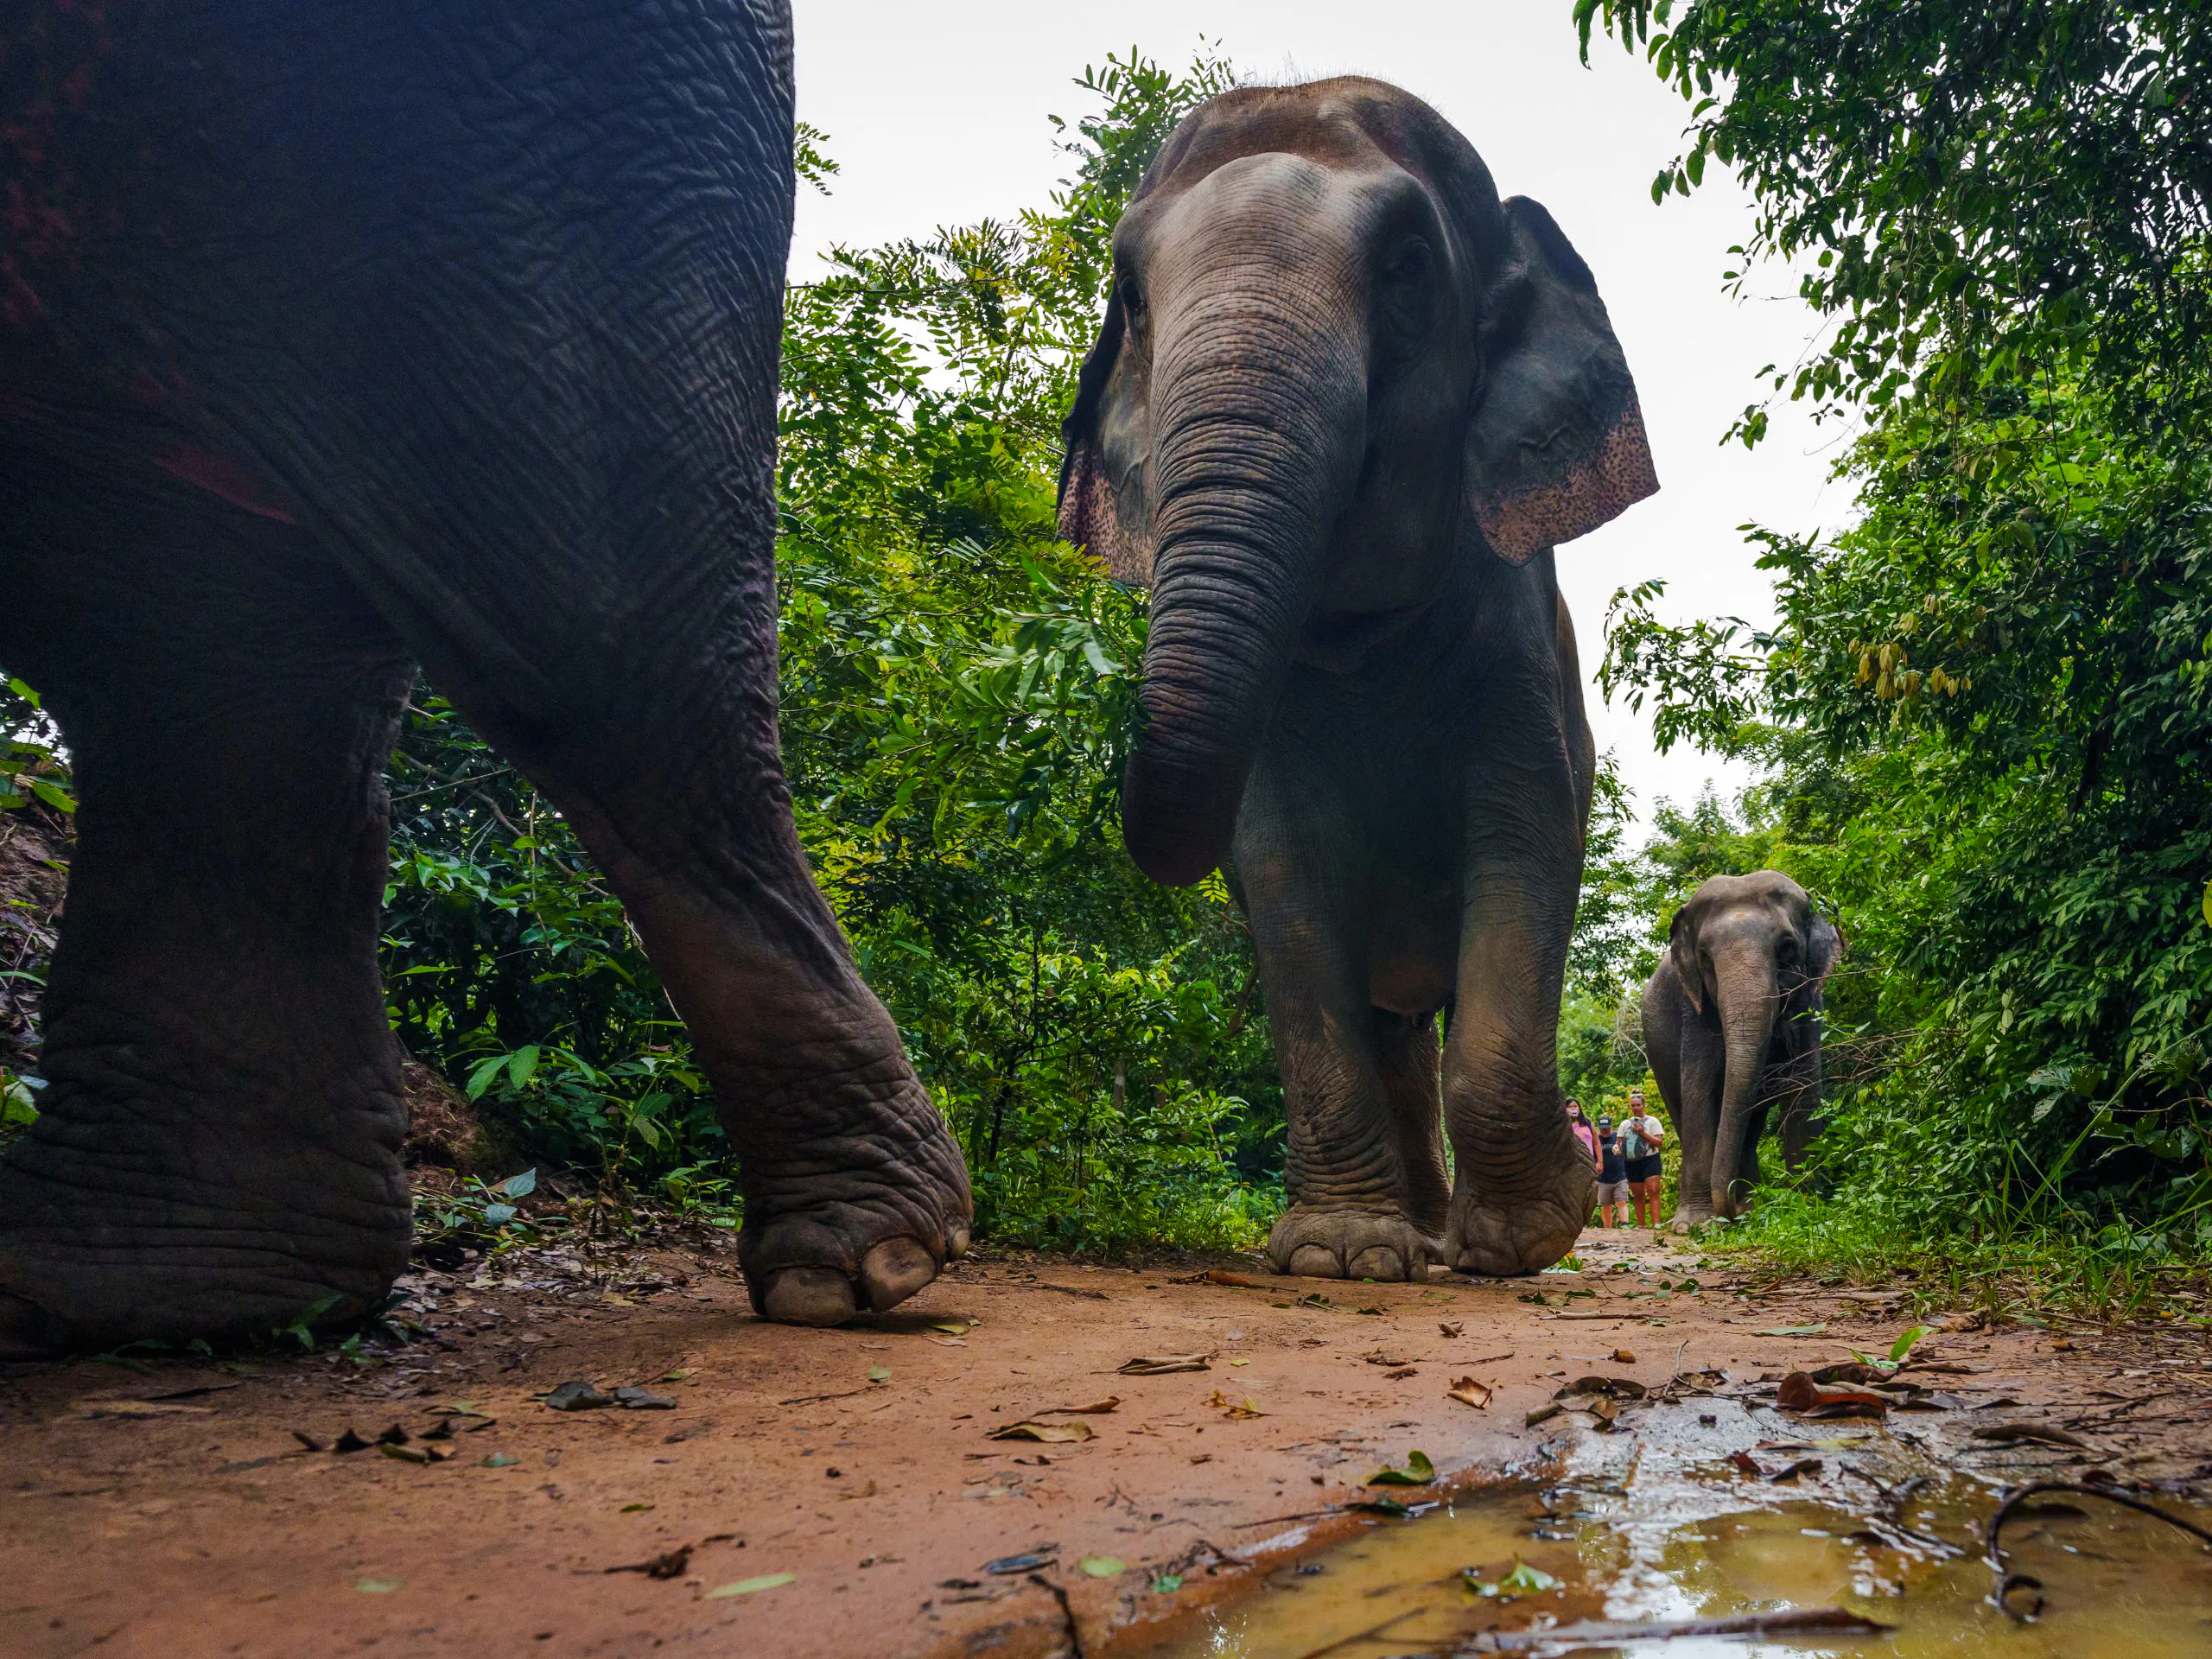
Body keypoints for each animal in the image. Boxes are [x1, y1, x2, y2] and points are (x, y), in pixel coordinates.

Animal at [1056, 78, 1658, 1279]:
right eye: (1130, 295)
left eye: (1407, 268)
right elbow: (1281, 871)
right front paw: (1338, 1256)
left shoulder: (1517, 636)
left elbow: (1526, 834)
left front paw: (1531, 1236)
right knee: (1388, 1027)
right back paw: (1409, 1245)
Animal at [1640, 871, 1841, 1230]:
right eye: (1705, 957)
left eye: (1787, 947)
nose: (1729, 1210)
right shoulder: (1695, 1008)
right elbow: (1699, 1092)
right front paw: (1695, 1225)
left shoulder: (1809, 1007)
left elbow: (1804, 1090)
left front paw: (1806, 1211)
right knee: (1682, 1108)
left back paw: (1750, 1208)